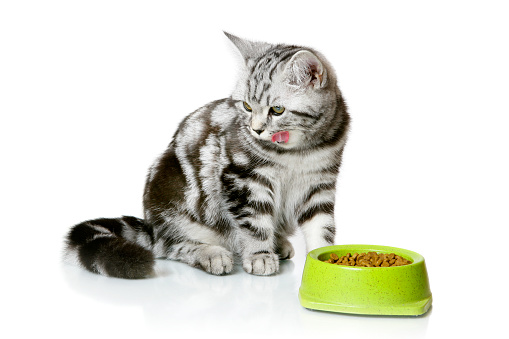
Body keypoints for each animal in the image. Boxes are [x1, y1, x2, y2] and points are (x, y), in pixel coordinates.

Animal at [63, 32, 350, 278]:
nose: (256, 129)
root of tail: (150, 225)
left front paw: (321, 259)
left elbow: (321, 226)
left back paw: (277, 244)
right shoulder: (242, 178)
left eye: (277, 110)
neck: (299, 151)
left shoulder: (320, 183)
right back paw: (213, 255)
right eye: (247, 106)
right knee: (171, 246)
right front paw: (259, 255)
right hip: (171, 201)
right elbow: (254, 224)